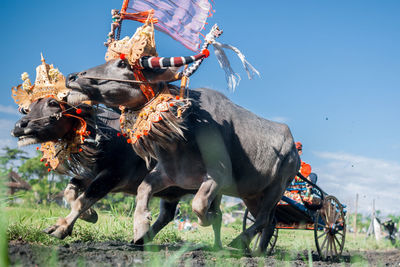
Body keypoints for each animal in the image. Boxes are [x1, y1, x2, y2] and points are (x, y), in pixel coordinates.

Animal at [10, 97, 223, 248]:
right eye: (28, 108)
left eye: (53, 103)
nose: (19, 126)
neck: (103, 136)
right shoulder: (89, 174)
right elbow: (69, 192)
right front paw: (90, 215)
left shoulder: (112, 176)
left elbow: (82, 200)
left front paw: (61, 228)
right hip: (171, 191)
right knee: (168, 214)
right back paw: (141, 238)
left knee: (216, 214)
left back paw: (219, 246)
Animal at [65, 58, 298, 253]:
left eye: (122, 63)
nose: (72, 77)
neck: (184, 133)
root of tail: (294, 149)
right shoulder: (166, 175)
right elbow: (143, 190)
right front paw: (140, 227)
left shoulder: (218, 176)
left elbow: (199, 206)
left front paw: (210, 217)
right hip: (251, 194)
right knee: (270, 221)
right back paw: (257, 249)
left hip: (277, 187)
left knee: (264, 219)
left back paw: (240, 243)